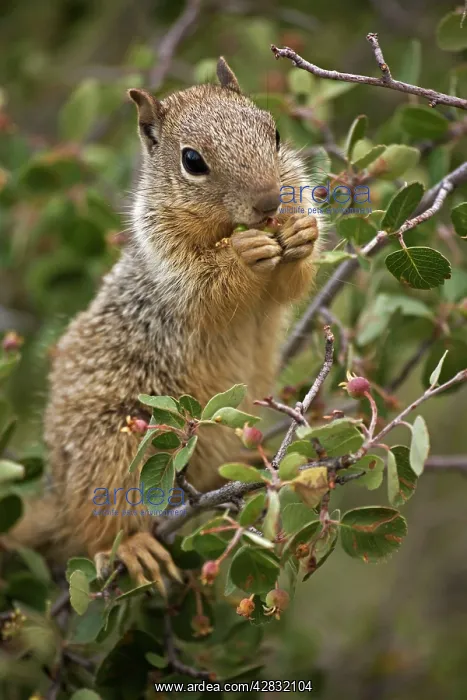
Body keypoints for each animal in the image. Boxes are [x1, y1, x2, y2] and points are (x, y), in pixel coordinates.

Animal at [7, 58, 322, 593]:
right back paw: (132, 546)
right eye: (192, 161)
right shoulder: (168, 267)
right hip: (115, 450)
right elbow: (207, 290)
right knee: (99, 526)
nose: (268, 203)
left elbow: (288, 283)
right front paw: (244, 254)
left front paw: (302, 233)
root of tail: (56, 501)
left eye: (275, 132)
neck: (224, 227)